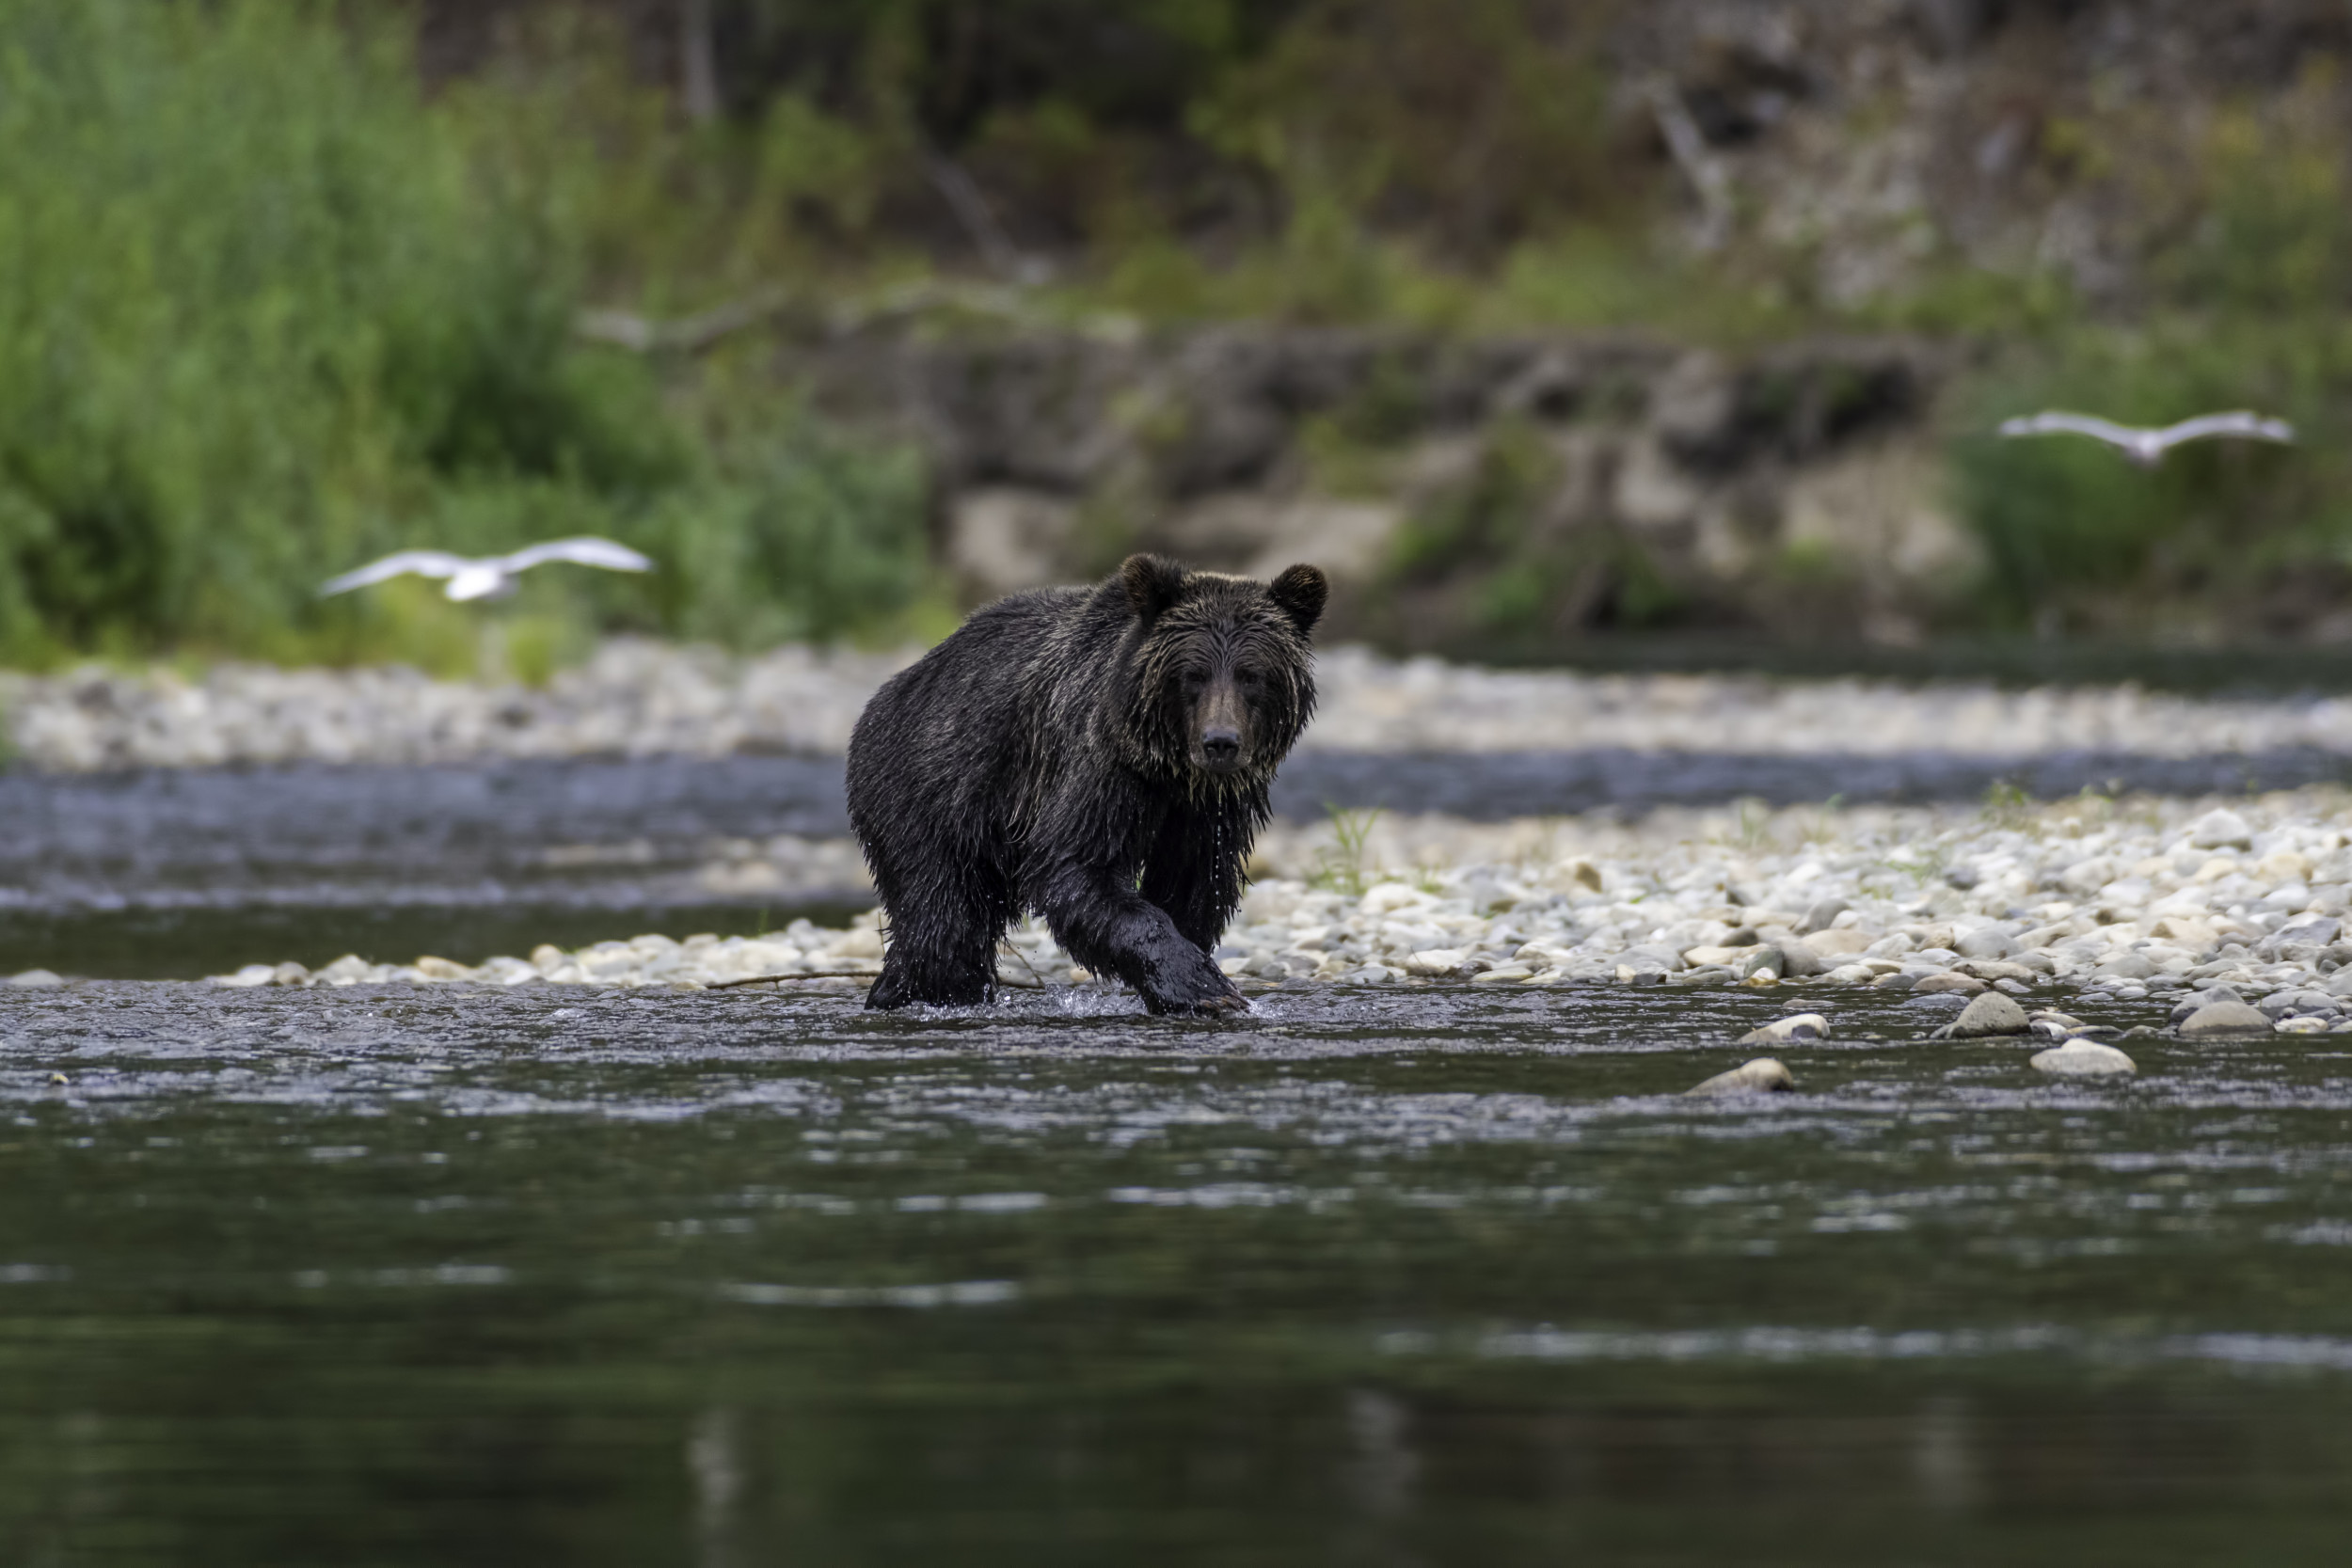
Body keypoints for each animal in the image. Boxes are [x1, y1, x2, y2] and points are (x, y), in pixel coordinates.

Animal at [847, 557, 1327, 1010]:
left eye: (1252, 675)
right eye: (1194, 674)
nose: (1220, 742)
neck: (1170, 772)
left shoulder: (1211, 810)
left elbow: (1193, 884)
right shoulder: (1100, 764)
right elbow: (1077, 865)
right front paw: (1204, 987)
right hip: (929, 790)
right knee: (942, 923)